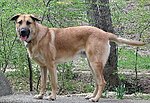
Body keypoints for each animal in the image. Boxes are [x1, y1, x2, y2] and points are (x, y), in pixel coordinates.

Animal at [10, 14, 144, 102]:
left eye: (28, 23)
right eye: (19, 22)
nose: (22, 31)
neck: (36, 36)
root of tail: (104, 33)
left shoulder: (51, 65)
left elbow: (53, 83)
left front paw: (52, 96)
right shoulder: (43, 67)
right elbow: (43, 83)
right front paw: (40, 96)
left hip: (95, 63)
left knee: (102, 82)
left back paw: (96, 99)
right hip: (91, 65)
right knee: (97, 82)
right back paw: (92, 96)